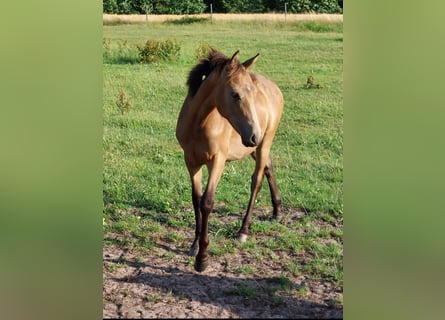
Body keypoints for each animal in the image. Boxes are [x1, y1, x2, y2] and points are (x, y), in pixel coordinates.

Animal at [175, 48, 282, 272]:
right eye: (235, 94)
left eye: (252, 94)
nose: (254, 135)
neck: (199, 125)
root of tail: (275, 88)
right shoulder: (191, 161)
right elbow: (196, 199)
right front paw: (194, 246)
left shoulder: (217, 161)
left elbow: (207, 202)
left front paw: (202, 259)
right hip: (254, 148)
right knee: (269, 167)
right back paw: (277, 211)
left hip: (264, 143)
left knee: (256, 181)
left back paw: (243, 230)